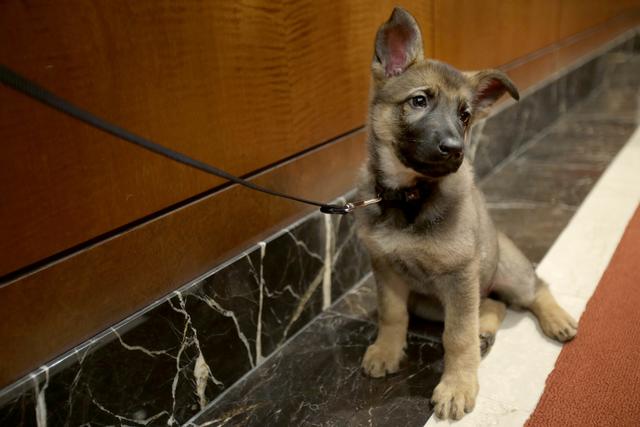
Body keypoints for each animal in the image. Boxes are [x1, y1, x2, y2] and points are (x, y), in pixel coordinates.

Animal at [358, 6, 576, 422]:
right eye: (419, 101)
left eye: (465, 115)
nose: (455, 149)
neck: (410, 196)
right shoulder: (386, 267)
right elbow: (392, 314)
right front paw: (386, 350)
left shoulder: (459, 276)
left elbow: (457, 338)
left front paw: (457, 386)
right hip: (431, 301)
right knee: (491, 304)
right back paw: (485, 330)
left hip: (505, 270)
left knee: (532, 290)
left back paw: (556, 320)